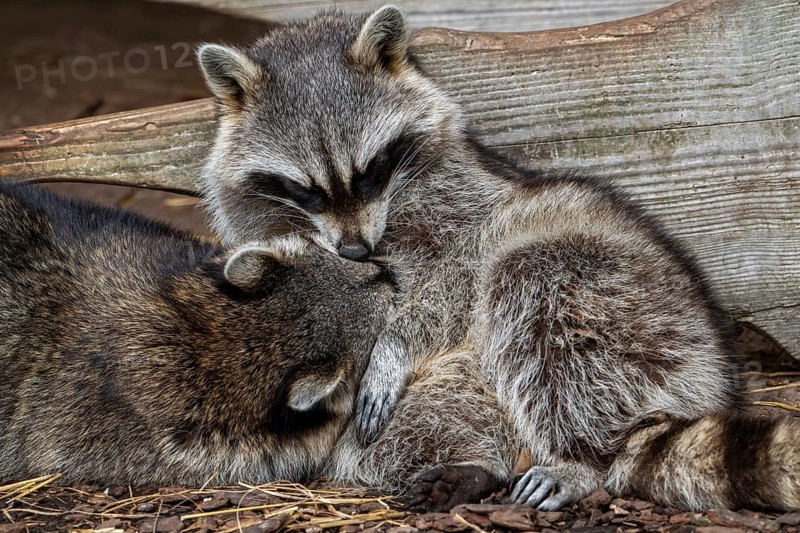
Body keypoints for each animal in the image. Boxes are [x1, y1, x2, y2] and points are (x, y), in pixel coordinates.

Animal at [196, 8, 800, 511]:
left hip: (636, 303)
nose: (355, 250)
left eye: (369, 171)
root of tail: (716, 373)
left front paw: (393, 343)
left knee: (536, 286)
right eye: (307, 190)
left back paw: (579, 457)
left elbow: (458, 275)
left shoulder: (461, 204)